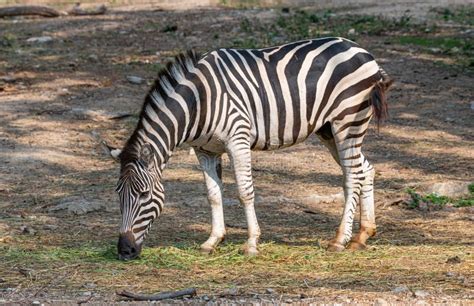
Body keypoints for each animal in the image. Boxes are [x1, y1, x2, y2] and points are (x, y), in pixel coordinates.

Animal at [115, 37, 392, 260]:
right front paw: (212, 241)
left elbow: (245, 192)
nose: (124, 251)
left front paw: (251, 244)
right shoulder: (205, 150)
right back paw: (362, 235)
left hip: (348, 121)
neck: (198, 101)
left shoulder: (238, 140)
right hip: (329, 130)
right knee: (365, 169)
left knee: (353, 175)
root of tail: (363, 52)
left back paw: (339, 240)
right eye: (118, 195)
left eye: (144, 195)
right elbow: (213, 195)